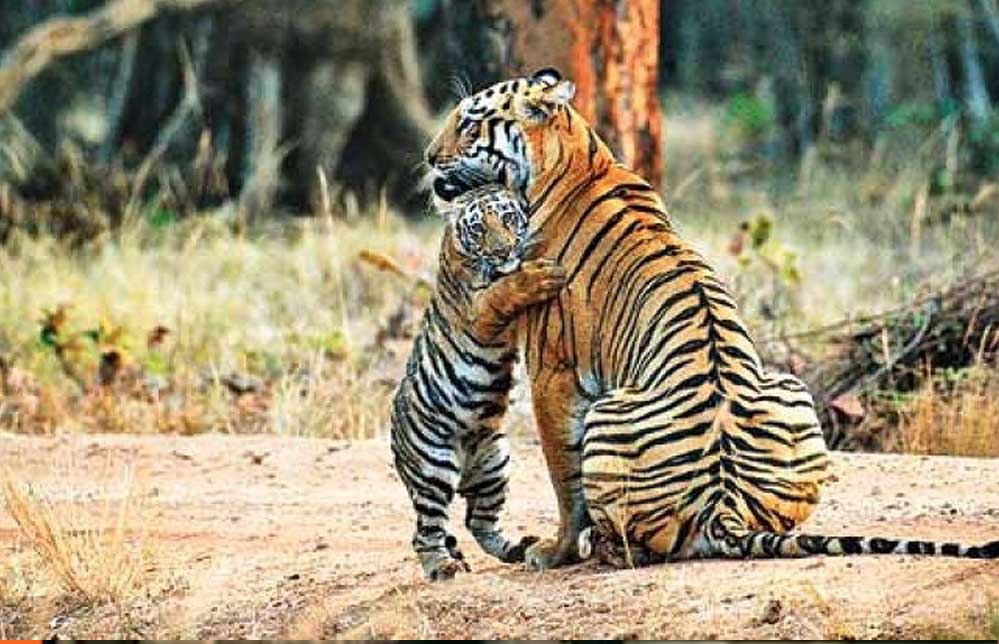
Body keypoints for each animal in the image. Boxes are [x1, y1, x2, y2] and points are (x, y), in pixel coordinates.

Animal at [390, 184, 566, 580]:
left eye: (508, 218)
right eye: (478, 228)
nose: (503, 251)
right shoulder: (480, 310)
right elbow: (506, 288)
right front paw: (539, 275)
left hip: (494, 463)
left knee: (479, 523)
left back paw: (519, 547)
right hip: (433, 468)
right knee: (425, 532)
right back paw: (442, 567)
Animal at [424, 68, 999, 569]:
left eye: (469, 122)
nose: (429, 157)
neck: (576, 157)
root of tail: (725, 508)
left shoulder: (552, 372)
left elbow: (564, 477)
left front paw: (555, 551)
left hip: (610, 412)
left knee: (634, 544)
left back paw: (600, 548)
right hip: (792, 391)